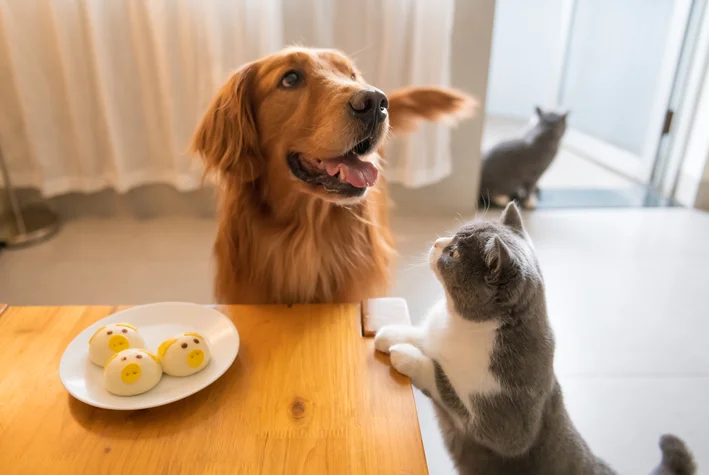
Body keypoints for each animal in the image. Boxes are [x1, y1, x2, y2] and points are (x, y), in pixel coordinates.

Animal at [374, 202, 696, 475]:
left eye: (454, 254)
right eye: (454, 235)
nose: (437, 242)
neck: (458, 322)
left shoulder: (507, 429)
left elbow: (444, 383)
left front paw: (408, 356)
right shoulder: (435, 334)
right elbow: (424, 337)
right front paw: (391, 333)